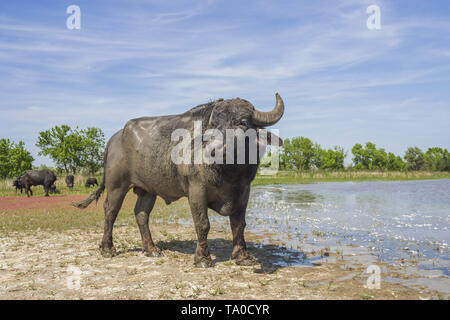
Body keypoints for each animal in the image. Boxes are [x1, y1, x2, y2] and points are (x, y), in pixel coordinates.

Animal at [74, 93, 284, 268]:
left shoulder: (244, 190)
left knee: (141, 214)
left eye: (242, 122)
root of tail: (114, 138)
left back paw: (151, 249)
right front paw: (203, 259)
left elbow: (239, 224)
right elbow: (203, 224)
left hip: (148, 189)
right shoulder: (196, 190)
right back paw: (107, 249)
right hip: (116, 185)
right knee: (110, 211)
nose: (213, 149)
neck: (229, 171)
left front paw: (243, 257)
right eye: (213, 125)